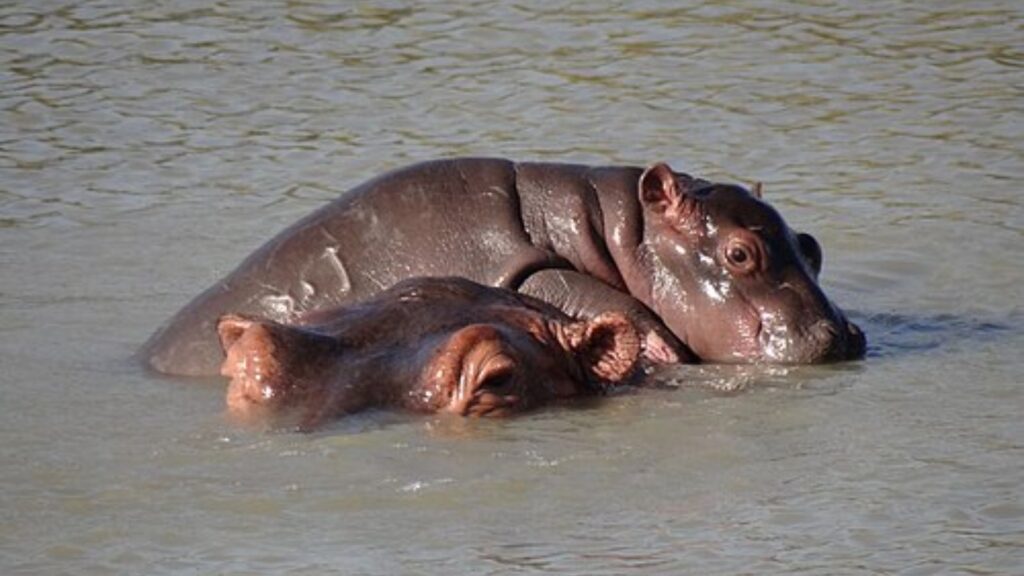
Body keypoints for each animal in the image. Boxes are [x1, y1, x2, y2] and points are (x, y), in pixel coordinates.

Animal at [143, 157, 865, 376]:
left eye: (812, 244)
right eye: (741, 253)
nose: (839, 335)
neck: (612, 230)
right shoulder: (514, 263)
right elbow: (591, 294)